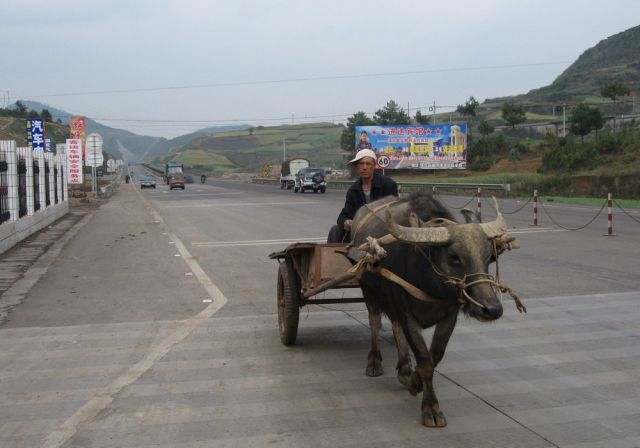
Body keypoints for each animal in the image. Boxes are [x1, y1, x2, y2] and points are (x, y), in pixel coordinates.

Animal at [350, 192, 524, 428]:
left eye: (490, 257)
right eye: (454, 257)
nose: (492, 309)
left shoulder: (449, 315)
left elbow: (435, 356)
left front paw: (414, 381)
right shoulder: (406, 312)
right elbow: (424, 360)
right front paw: (430, 408)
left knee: (394, 327)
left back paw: (404, 369)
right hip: (369, 292)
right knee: (375, 322)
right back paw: (374, 362)